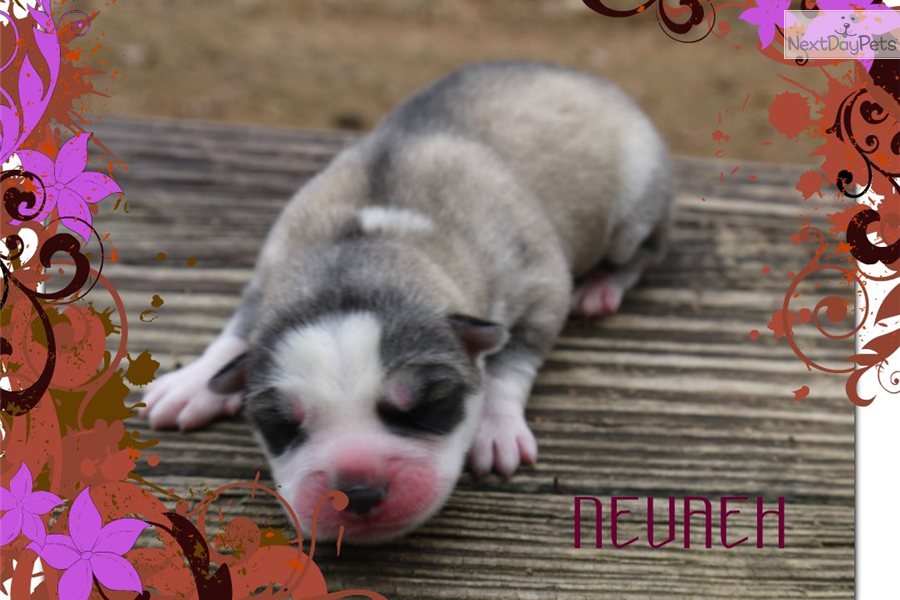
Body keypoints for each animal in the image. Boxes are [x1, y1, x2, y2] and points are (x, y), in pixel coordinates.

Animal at [141, 61, 673, 543]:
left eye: (427, 406)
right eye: (282, 426)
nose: (357, 491)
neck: (360, 250)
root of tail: (587, 77)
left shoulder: (539, 280)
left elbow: (511, 359)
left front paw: (495, 424)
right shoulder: (269, 276)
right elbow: (238, 329)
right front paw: (195, 382)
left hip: (634, 203)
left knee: (642, 252)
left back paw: (600, 287)